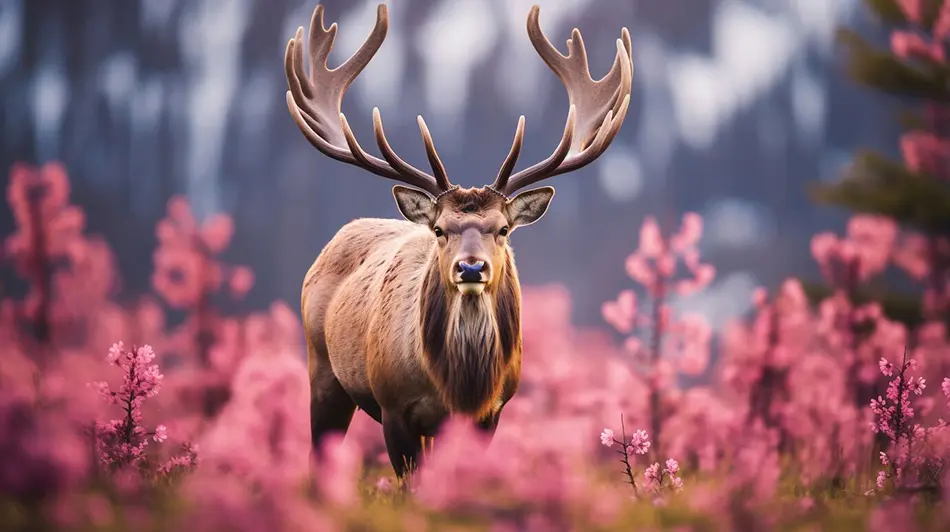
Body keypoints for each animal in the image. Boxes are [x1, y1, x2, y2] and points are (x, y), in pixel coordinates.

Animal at [285, 2, 633, 478]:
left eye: (502, 229)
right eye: (439, 229)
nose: (471, 267)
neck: (459, 387)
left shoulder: (492, 411)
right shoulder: (394, 407)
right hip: (323, 370)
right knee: (318, 452)